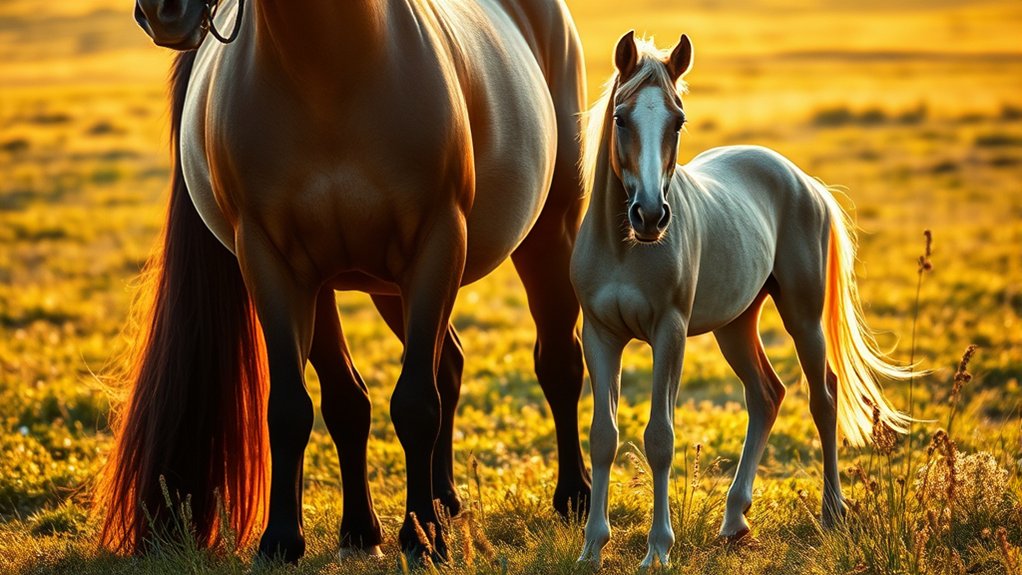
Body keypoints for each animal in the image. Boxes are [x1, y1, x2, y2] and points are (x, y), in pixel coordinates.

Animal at [98, 0, 592, 562]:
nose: (163, 13)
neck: (329, 66)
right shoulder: (278, 267)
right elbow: (313, 406)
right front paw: (310, 536)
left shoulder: (437, 244)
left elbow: (415, 404)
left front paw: (421, 539)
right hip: (384, 290)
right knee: (445, 364)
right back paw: (441, 500)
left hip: (548, 230)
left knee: (558, 361)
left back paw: (573, 497)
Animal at [570, 32, 915, 569]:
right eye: (621, 118)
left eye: (678, 119)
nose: (650, 214)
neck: (625, 246)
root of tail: (804, 181)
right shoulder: (600, 336)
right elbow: (603, 436)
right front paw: (591, 548)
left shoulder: (669, 333)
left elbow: (660, 438)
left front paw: (658, 549)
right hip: (735, 326)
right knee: (766, 395)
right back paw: (734, 519)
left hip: (803, 319)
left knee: (823, 396)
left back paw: (832, 512)